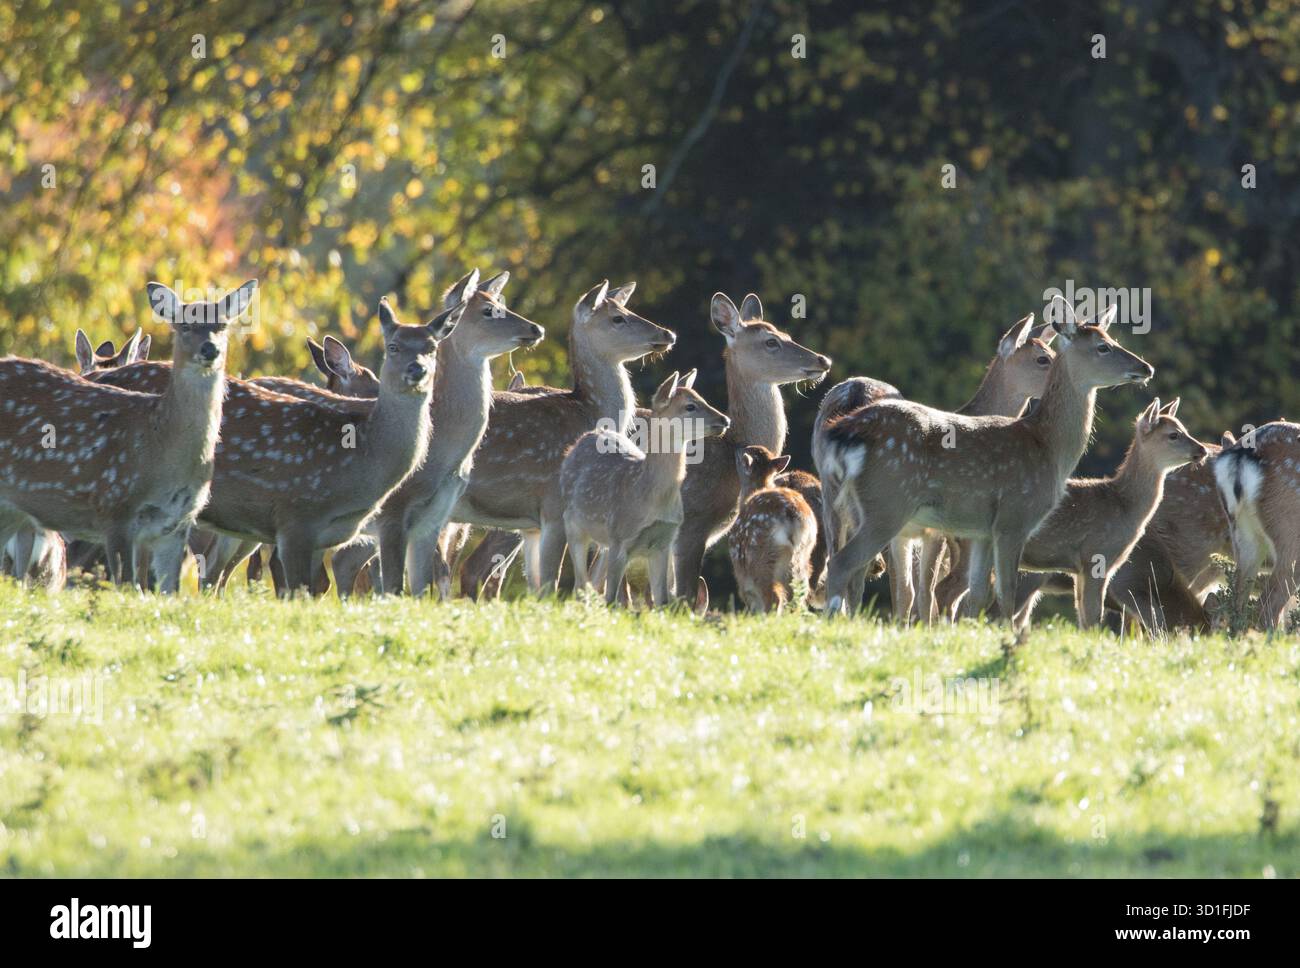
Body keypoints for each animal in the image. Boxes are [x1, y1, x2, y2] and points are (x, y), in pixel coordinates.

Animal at [450, 280, 676, 592]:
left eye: (627, 307)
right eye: (618, 318)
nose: (667, 333)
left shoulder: (533, 525)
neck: (588, 411)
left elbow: (536, 584)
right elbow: (551, 581)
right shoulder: (555, 506)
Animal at [561, 370, 730, 605]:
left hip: (605, 543)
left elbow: (662, 600)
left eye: (702, 398)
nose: (725, 419)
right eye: (690, 406)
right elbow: (611, 599)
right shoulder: (620, 537)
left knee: (589, 584)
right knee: (580, 584)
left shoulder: (663, 543)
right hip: (574, 524)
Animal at [728, 444, 818, 612]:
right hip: (802, 555)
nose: (736, 448)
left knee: (773, 597)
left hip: (761, 556)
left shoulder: (742, 572)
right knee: (798, 594)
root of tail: (791, 514)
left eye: (741, 456)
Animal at [818, 299, 1154, 626]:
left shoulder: (981, 531)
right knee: (844, 565)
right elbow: (1005, 594)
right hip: (888, 504)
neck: (1048, 446)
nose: (1146, 367)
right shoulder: (1014, 518)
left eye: (1112, 339)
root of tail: (842, 433)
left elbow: (977, 595)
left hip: (844, 504)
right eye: (1103, 347)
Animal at [1012, 398, 1207, 628]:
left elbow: (1084, 615)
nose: (1203, 449)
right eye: (1173, 434)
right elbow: (1094, 615)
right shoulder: (1097, 555)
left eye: (1185, 429)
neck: (1124, 505)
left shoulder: (1080, 570)